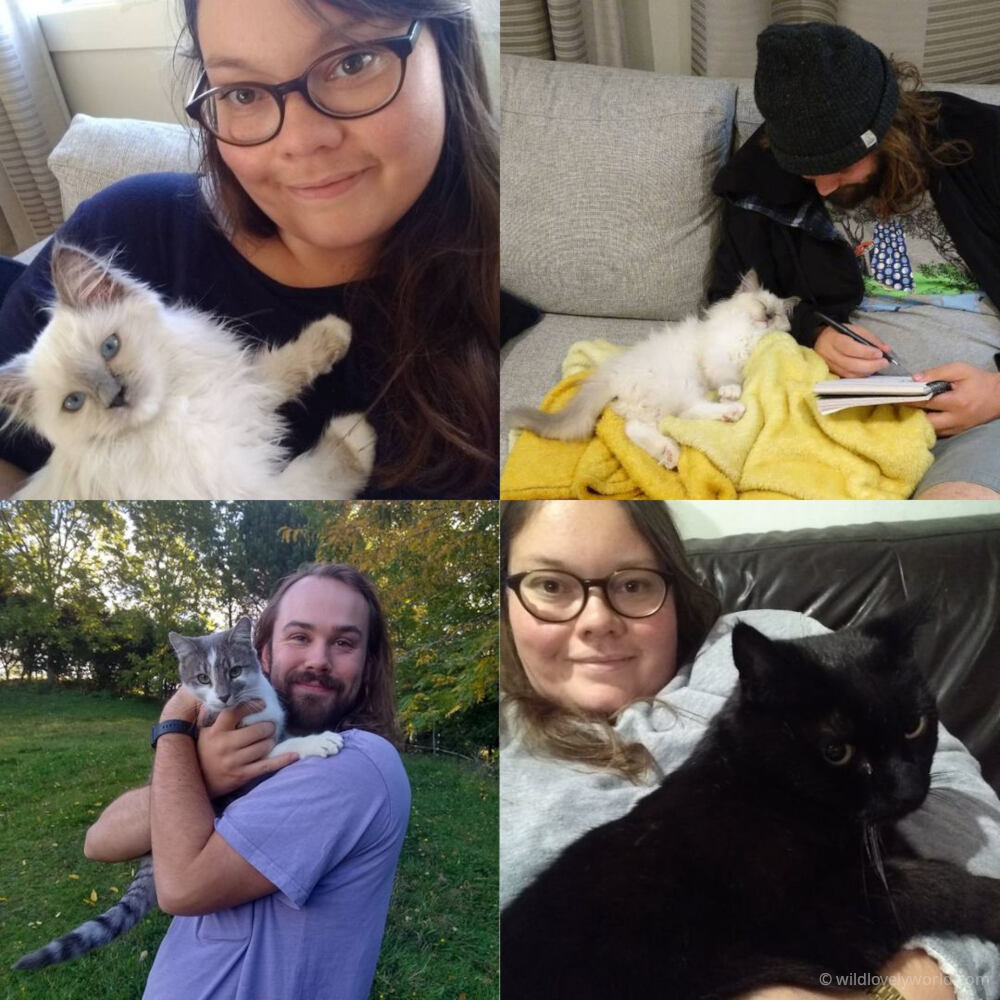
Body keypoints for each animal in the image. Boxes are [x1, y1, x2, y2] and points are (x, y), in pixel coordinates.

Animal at [0, 244, 376, 500]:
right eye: (74, 402)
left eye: (110, 347)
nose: (116, 396)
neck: (181, 408)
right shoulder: (250, 486)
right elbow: (327, 470)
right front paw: (357, 433)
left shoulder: (239, 391)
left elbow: (278, 368)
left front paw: (334, 333)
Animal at [11, 616, 340, 968]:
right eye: (203, 678)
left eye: (235, 671)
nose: (223, 697)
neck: (250, 706)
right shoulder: (245, 751)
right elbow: (280, 748)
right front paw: (318, 740)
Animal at [504, 604, 1000, 1000]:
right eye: (836, 751)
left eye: (915, 725)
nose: (908, 790)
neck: (764, 791)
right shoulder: (825, 917)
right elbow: (927, 881)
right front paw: (990, 901)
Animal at [508, 272, 796, 470]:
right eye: (762, 306)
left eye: (775, 314)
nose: (767, 317)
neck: (749, 334)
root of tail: (611, 375)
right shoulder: (716, 355)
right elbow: (727, 376)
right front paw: (731, 391)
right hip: (679, 386)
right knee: (682, 414)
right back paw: (730, 411)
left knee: (639, 428)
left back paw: (670, 452)